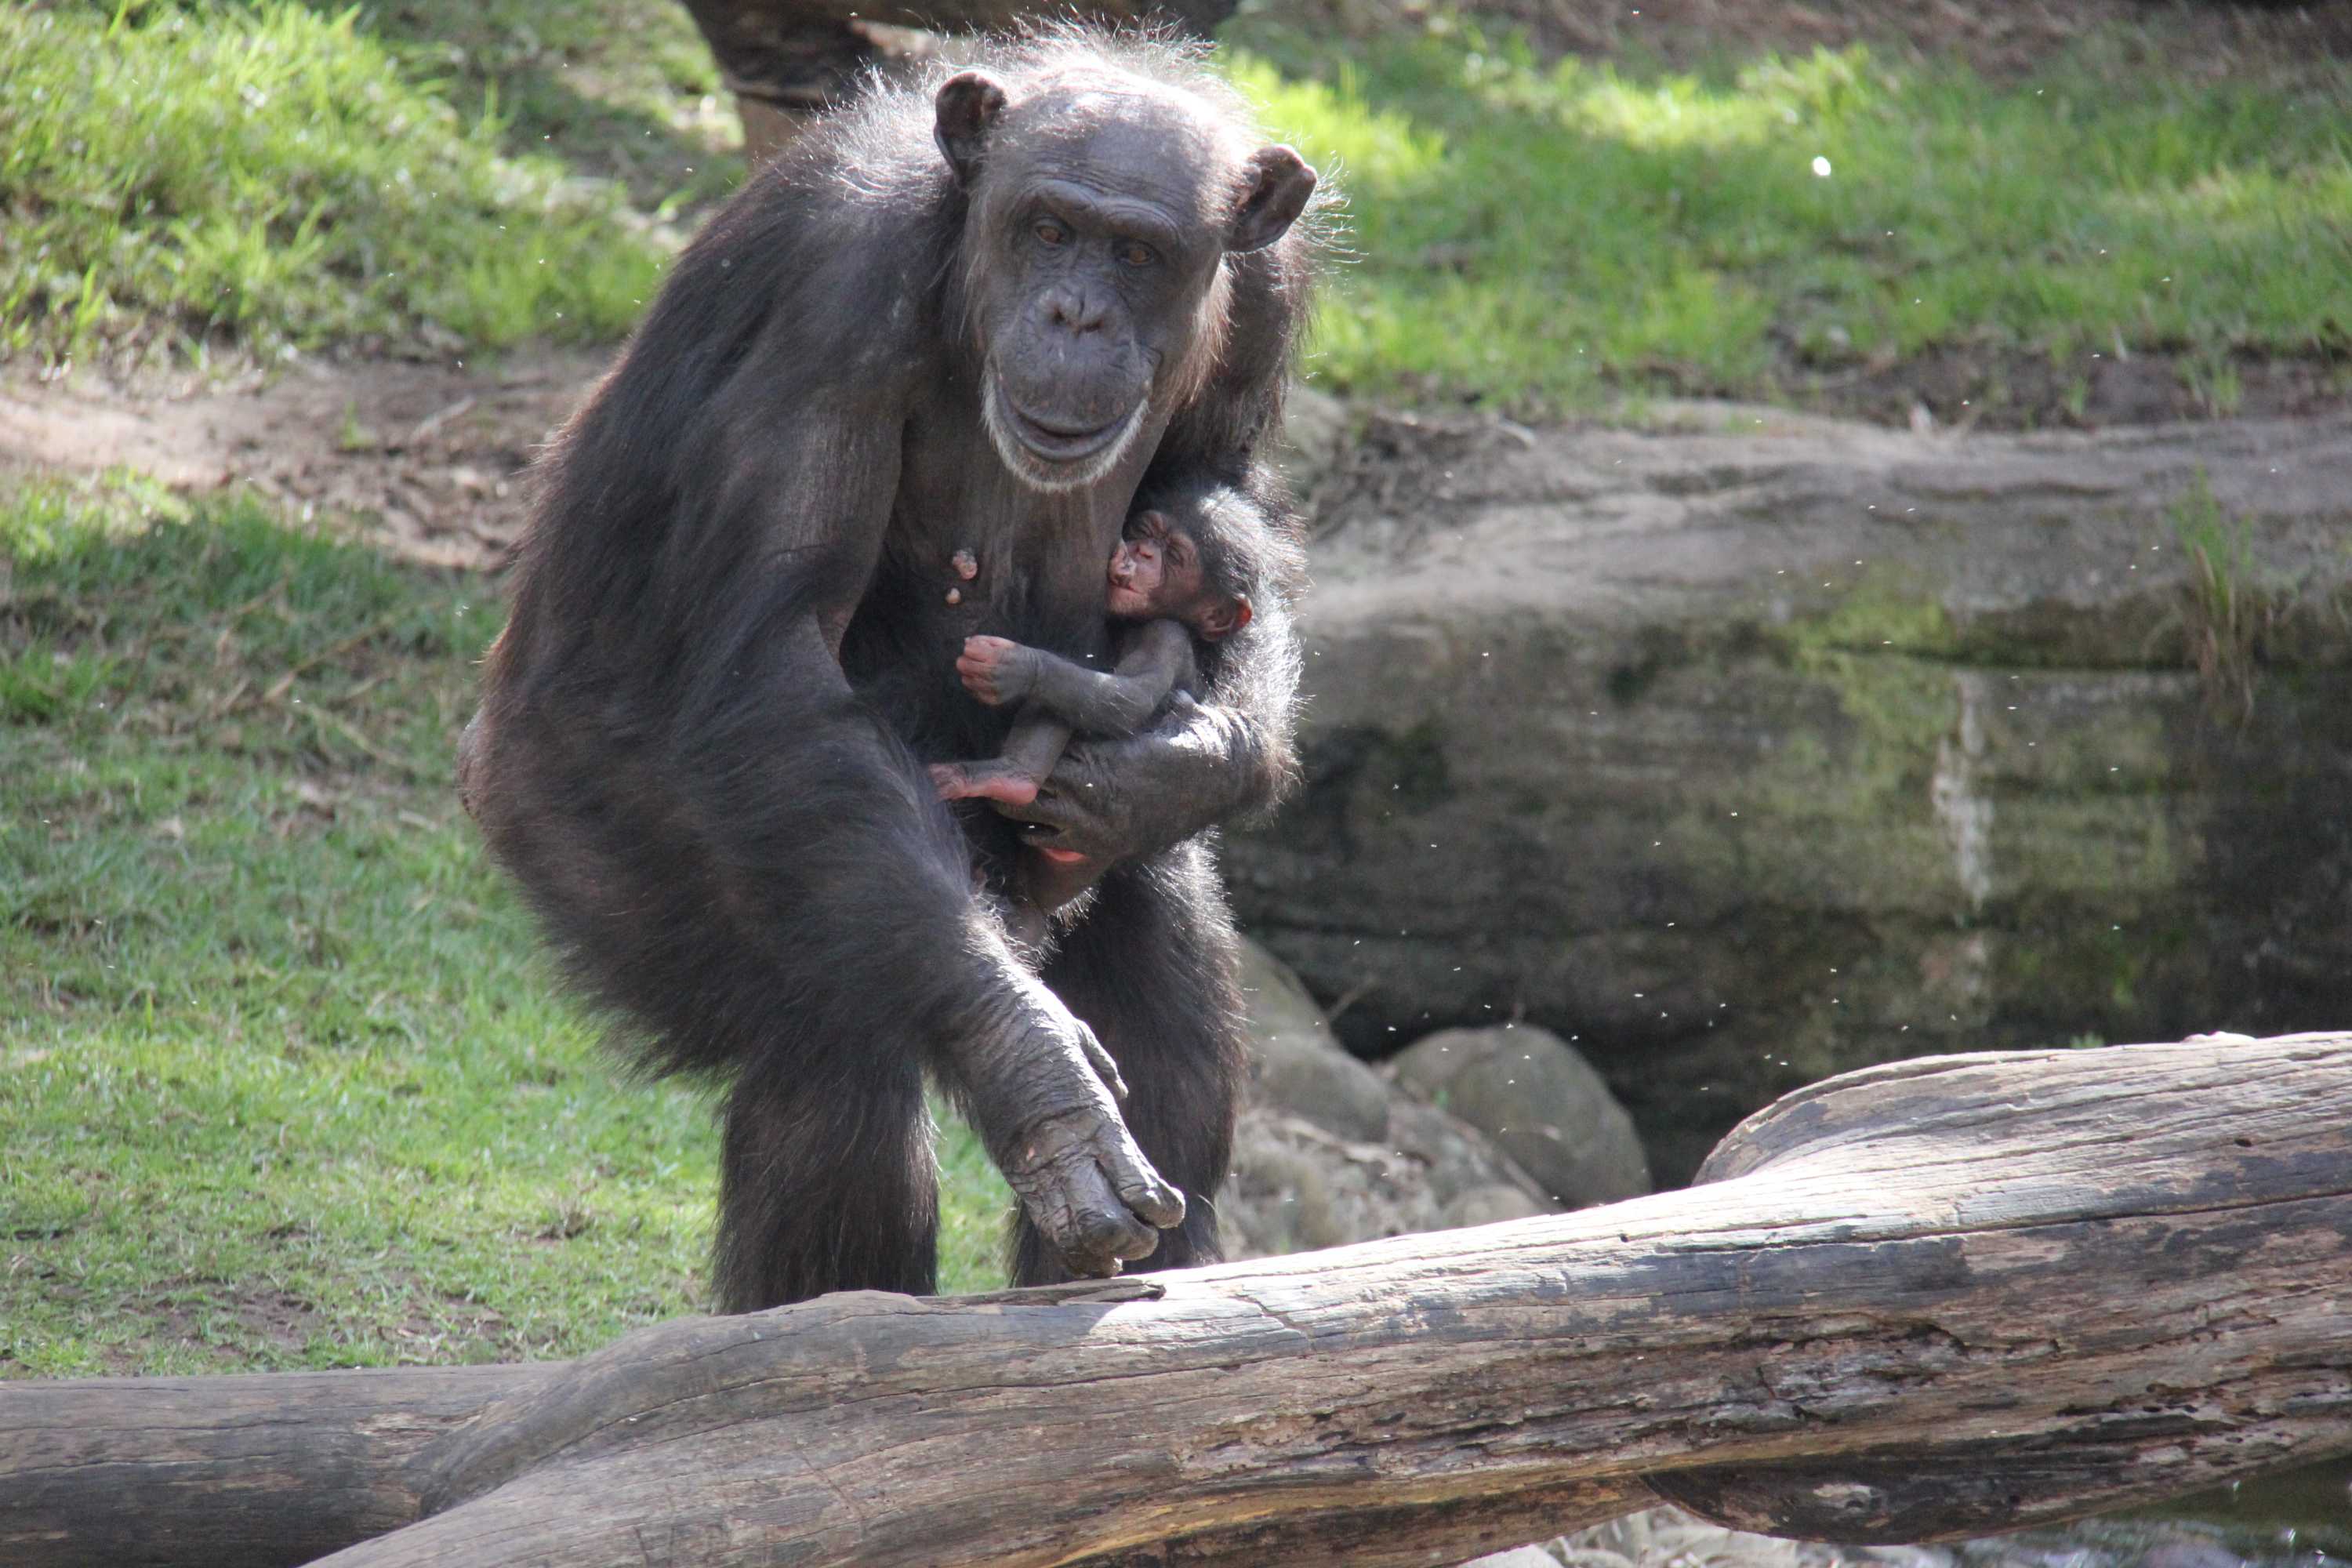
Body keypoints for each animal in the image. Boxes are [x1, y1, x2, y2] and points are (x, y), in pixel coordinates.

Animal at [931, 495, 1270, 949]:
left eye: (1175, 555)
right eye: (1145, 532)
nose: (1142, 553)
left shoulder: (1164, 634)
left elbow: (1127, 697)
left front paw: (1017, 667)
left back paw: (1011, 777)